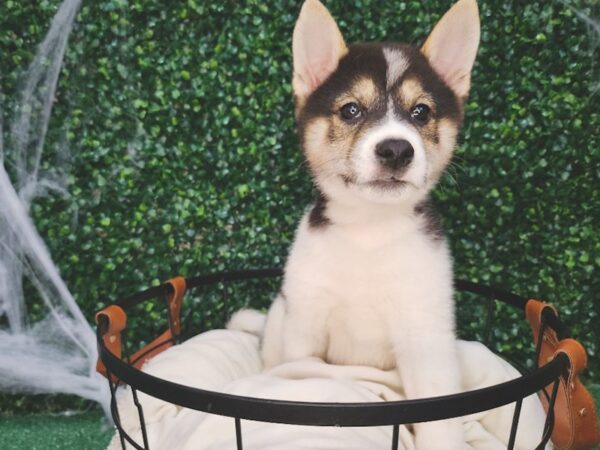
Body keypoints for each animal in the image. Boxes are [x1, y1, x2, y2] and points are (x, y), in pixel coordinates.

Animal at [260, 1, 480, 448]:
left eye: (421, 112)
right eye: (351, 110)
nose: (396, 149)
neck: (369, 230)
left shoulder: (424, 336)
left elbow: (439, 419)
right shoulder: (306, 328)